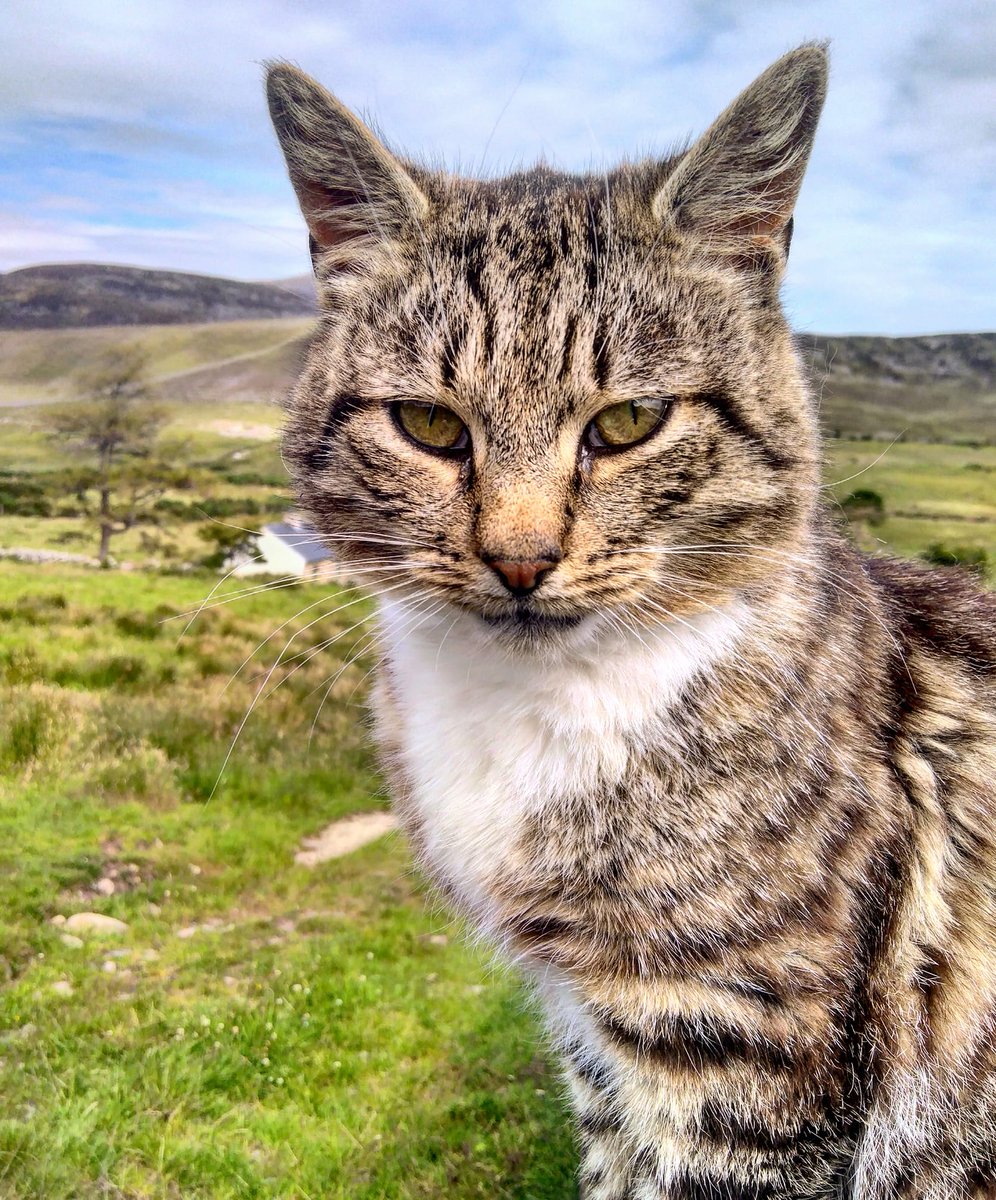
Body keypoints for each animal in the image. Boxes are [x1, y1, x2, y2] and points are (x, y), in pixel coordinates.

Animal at [267, 46, 996, 1200]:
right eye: (429, 424)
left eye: (629, 422)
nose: (520, 559)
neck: (544, 709)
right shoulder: (597, 1044)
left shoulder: (751, 1052)